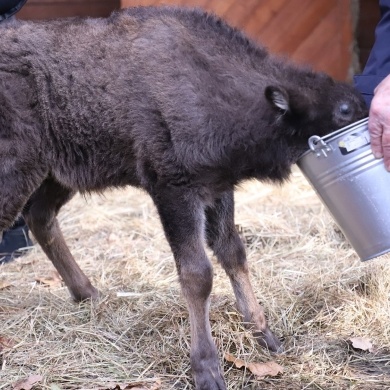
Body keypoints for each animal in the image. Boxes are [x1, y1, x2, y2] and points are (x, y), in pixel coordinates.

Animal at [0, 6, 368, 390]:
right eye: (343, 110)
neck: (214, 81)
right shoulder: (174, 190)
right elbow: (198, 274)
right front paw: (207, 368)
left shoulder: (218, 189)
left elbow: (233, 252)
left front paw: (264, 335)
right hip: (19, 169)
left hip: (56, 174)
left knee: (40, 217)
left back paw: (87, 293)